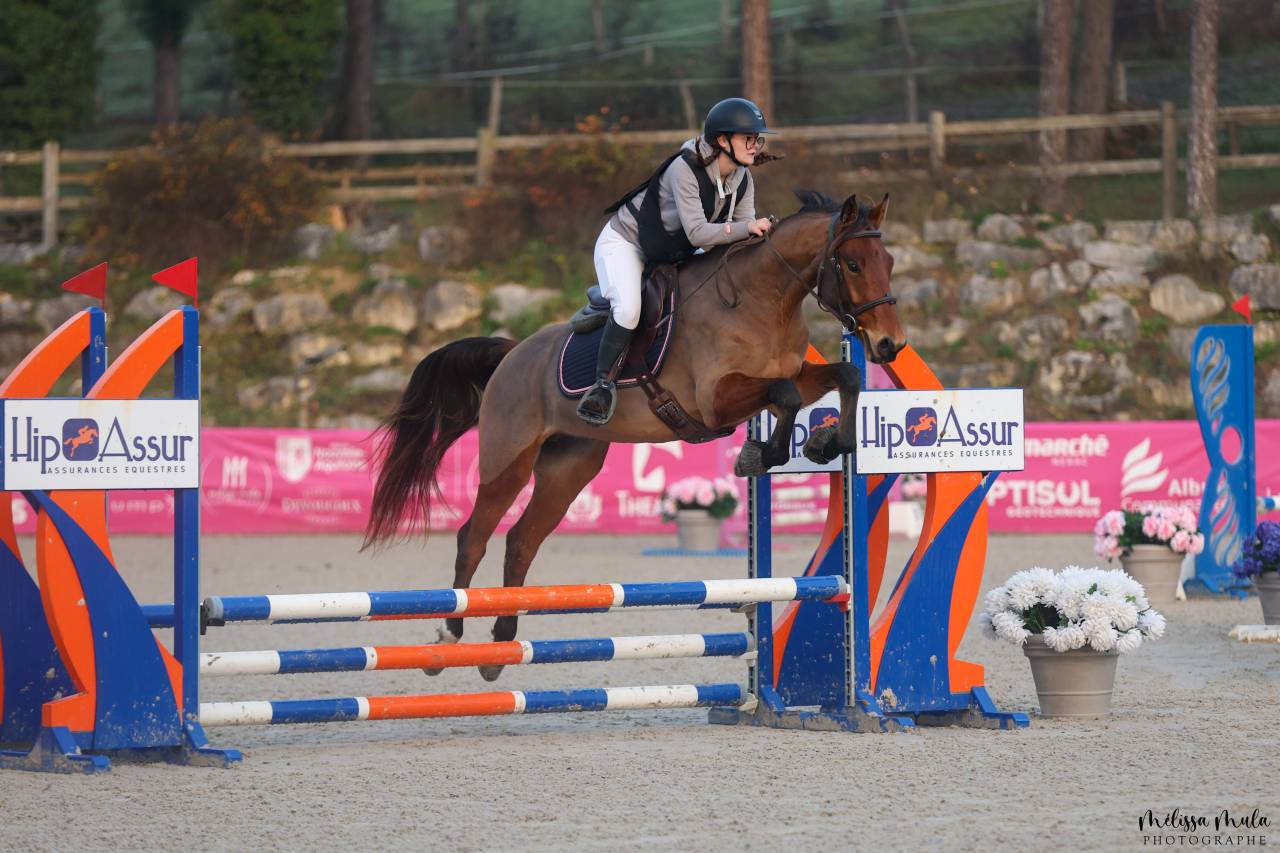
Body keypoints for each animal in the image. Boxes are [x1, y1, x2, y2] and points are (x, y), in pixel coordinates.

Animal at [364, 190, 907, 680]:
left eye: (889, 261)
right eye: (852, 264)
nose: (890, 345)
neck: (765, 300)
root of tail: (512, 353)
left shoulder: (788, 378)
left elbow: (843, 377)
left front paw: (825, 443)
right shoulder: (716, 399)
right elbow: (787, 396)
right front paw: (761, 454)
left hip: (569, 469)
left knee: (520, 542)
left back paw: (501, 646)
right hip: (508, 461)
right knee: (472, 538)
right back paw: (447, 639)